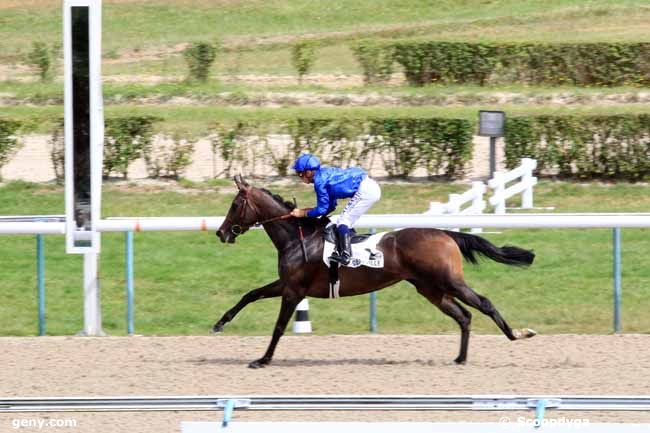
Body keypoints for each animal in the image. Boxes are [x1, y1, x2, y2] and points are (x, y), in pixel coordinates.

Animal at [215, 176, 536, 368]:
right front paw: (219, 323)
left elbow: (279, 326)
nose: (221, 233)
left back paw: (518, 334)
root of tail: (445, 233)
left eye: (235, 204)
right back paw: (460, 358)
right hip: (430, 288)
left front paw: (263, 359)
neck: (297, 237)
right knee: (464, 315)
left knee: (484, 304)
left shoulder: (294, 291)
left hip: (449, 281)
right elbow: (250, 294)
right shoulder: (287, 284)